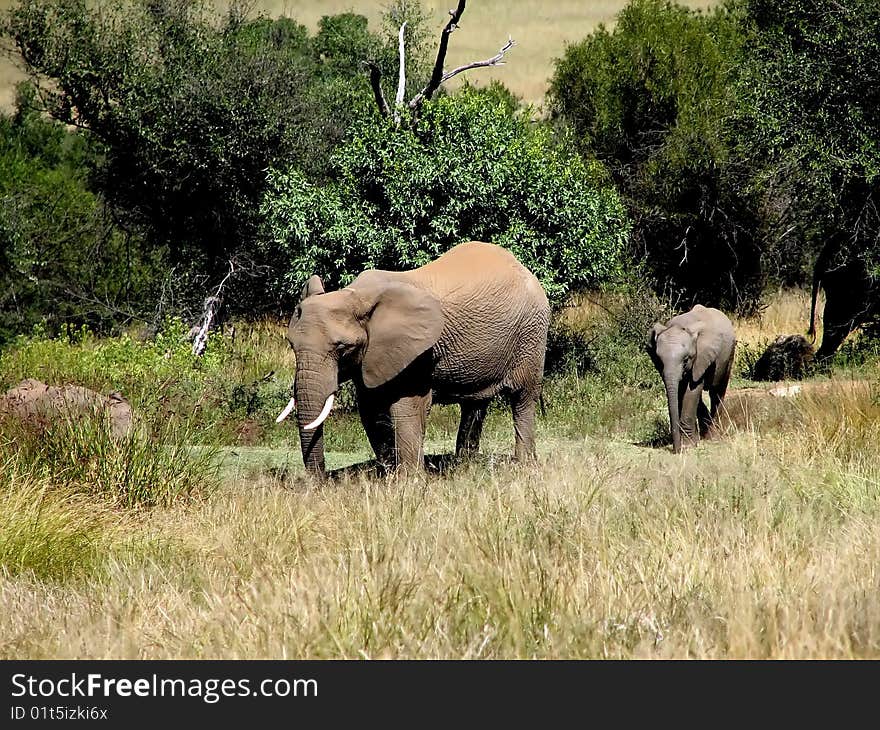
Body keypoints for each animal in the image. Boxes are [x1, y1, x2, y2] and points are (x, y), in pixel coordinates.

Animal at [276, 240, 552, 478]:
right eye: (291, 345)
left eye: (342, 347)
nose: (320, 481)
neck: (357, 295)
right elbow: (371, 409)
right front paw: (388, 474)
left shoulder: (416, 355)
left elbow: (406, 407)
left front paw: (410, 481)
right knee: (475, 404)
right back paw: (465, 466)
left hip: (532, 335)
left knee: (523, 398)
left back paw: (524, 465)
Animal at [648, 304, 736, 452]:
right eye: (659, 361)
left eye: (685, 360)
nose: (677, 450)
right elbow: (681, 392)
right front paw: (693, 442)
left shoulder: (701, 358)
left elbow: (691, 391)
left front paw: (688, 446)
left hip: (729, 355)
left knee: (717, 392)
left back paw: (713, 437)